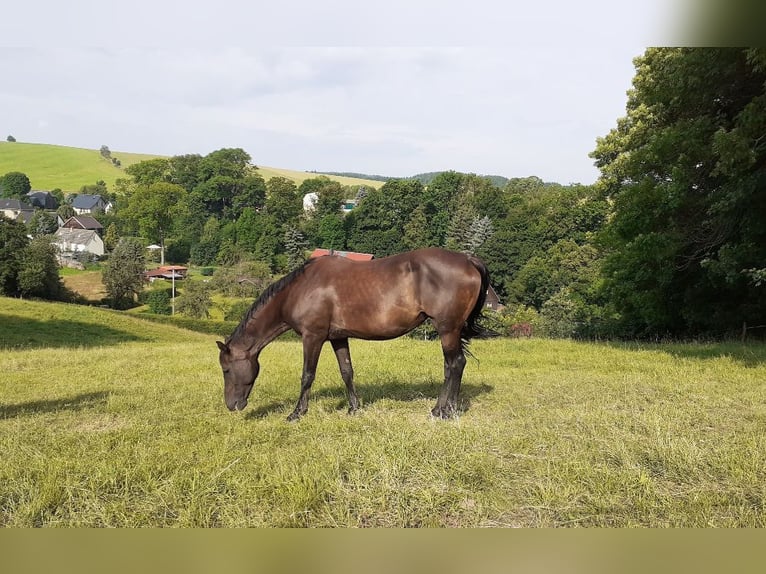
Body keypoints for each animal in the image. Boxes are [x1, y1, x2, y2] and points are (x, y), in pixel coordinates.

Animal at [218, 249, 498, 424]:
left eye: (226, 370)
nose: (232, 405)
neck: (300, 289)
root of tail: (468, 259)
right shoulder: (337, 338)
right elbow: (347, 371)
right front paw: (353, 408)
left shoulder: (312, 337)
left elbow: (307, 376)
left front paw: (296, 413)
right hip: (449, 331)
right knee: (450, 366)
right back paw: (439, 408)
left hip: (448, 329)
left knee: (456, 364)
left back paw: (447, 411)